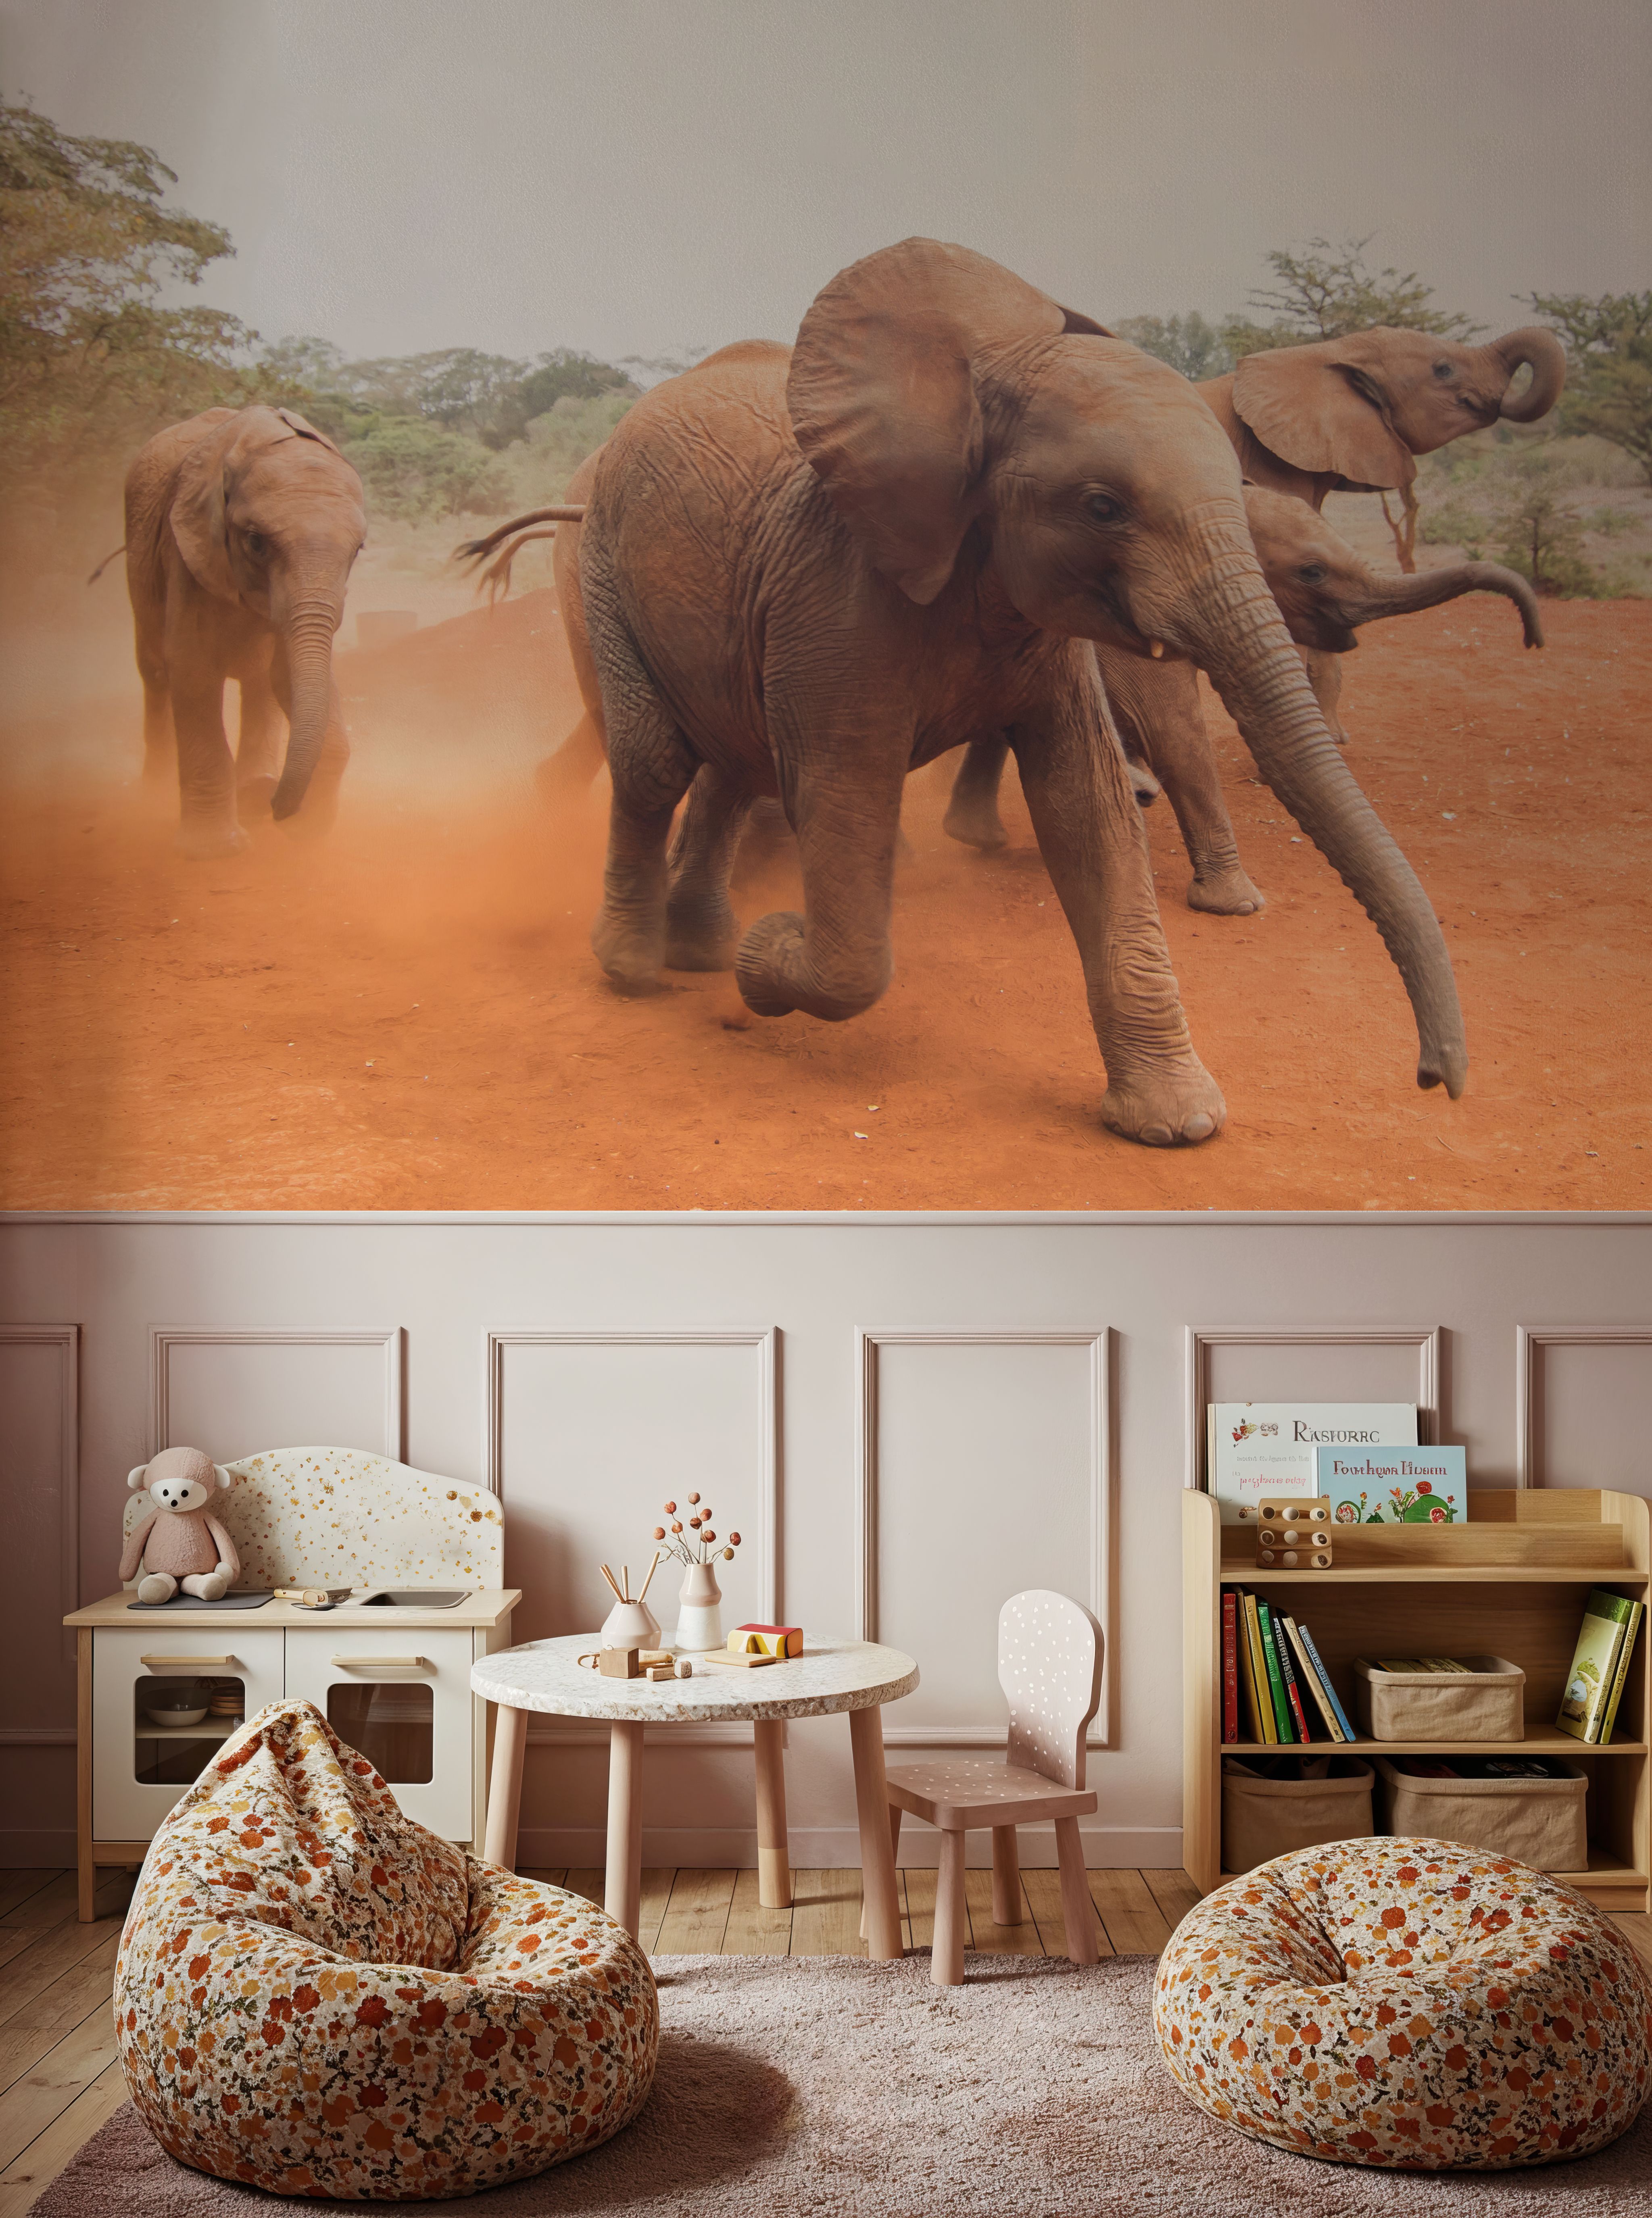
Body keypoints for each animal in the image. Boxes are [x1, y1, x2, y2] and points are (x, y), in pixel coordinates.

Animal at [121, 404, 366, 856]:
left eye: (358, 550)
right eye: (255, 542)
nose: (269, 806)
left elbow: (288, 676)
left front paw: (307, 829)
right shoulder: (188, 551)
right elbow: (194, 671)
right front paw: (215, 851)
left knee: (258, 682)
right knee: (156, 671)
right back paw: (155, 796)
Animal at [557, 239, 1466, 1146]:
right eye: (1102, 507)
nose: (1437, 1079)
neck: (978, 395)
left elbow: (1088, 810)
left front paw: (1176, 1123)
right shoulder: (835, 598)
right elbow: (846, 816)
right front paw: (768, 950)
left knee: (732, 765)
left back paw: (700, 953)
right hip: (601, 569)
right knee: (654, 764)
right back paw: (635, 967)